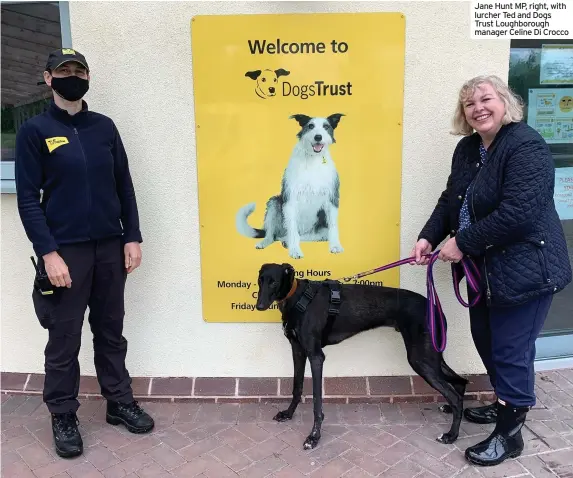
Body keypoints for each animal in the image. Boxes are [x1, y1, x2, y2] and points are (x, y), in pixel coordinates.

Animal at [255, 264, 464, 450]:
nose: (259, 306)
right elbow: (296, 387)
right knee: (461, 382)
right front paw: (288, 413)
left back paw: (451, 435)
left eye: (274, 282)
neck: (297, 298)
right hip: (430, 356)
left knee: (453, 394)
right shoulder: (297, 350)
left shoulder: (316, 356)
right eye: (260, 280)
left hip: (420, 358)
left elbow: (316, 401)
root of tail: (435, 307)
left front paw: (314, 437)